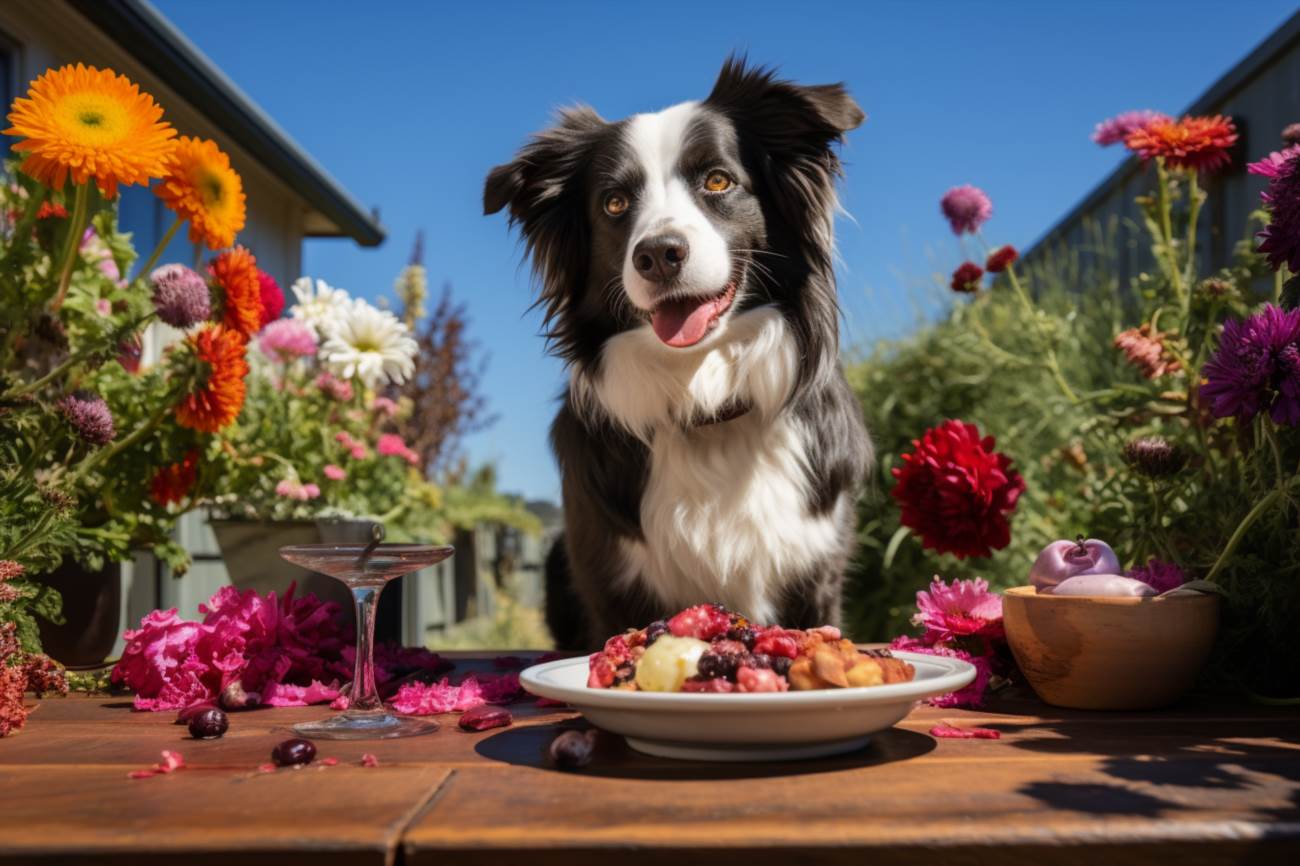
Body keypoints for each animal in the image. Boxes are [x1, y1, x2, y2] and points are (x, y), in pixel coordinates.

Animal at [486, 57, 873, 644]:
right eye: (615, 203)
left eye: (718, 180)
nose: (659, 254)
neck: (703, 400)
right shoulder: (612, 584)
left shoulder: (818, 576)